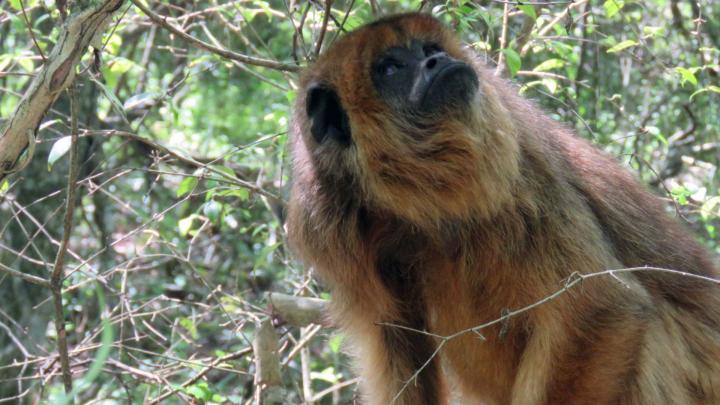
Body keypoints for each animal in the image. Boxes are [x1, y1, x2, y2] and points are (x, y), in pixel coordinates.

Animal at [286, 13, 720, 405]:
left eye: (429, 49)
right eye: (390, 68)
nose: (438, 60)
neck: (406, 201)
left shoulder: (514, 163)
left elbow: (599, 304)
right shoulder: (322, 223)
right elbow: (397, 339)